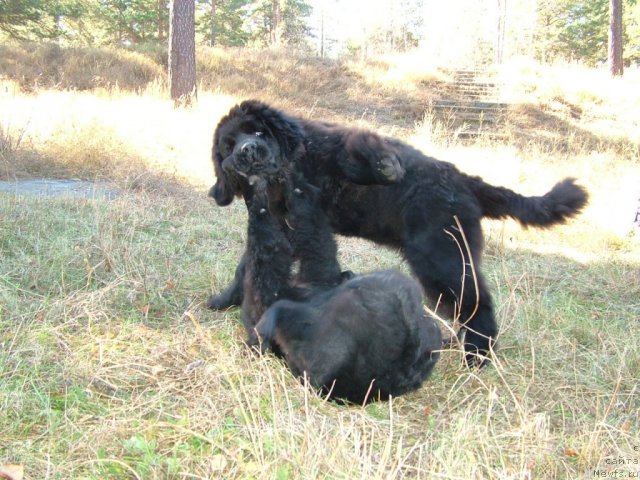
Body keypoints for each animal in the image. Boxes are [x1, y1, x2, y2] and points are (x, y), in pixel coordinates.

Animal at [208, 98, 588, 368]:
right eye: (229, 145)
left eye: (258, 132)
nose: (248, 152)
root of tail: (467, 182)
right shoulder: (278, 227)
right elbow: (246, 266)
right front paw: (226, 299)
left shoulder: (325, 157)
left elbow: (355, 151)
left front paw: (384, 165)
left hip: (442, 259)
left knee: (477, 303)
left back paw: (477, 355)